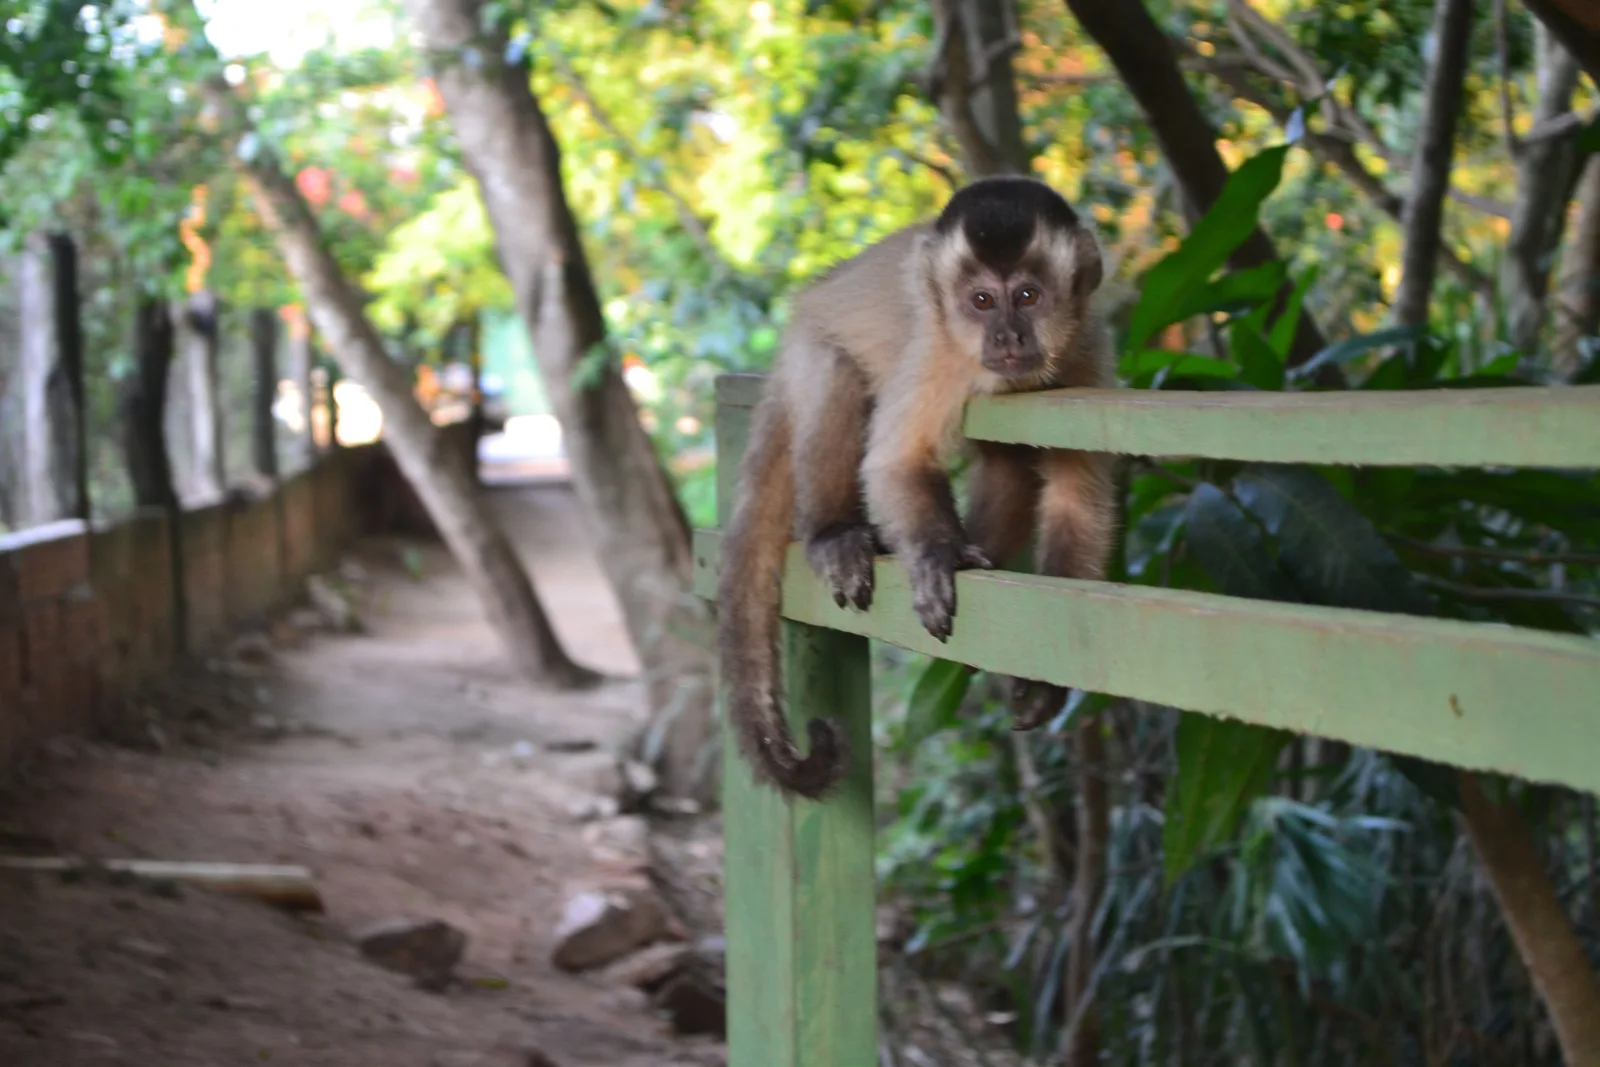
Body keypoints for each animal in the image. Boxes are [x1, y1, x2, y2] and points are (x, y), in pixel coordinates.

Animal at [716, 176, 1118, 801]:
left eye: (1028, 297)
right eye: (982, 302)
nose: (1005, 335)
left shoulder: (1086, 352)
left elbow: (1077, 491)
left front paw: (1043, 677)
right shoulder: (939, 352)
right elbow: (895, 463)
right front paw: (937, 555)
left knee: (1009, 462)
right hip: (809, 344)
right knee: (837, 371)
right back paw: (834, 534)